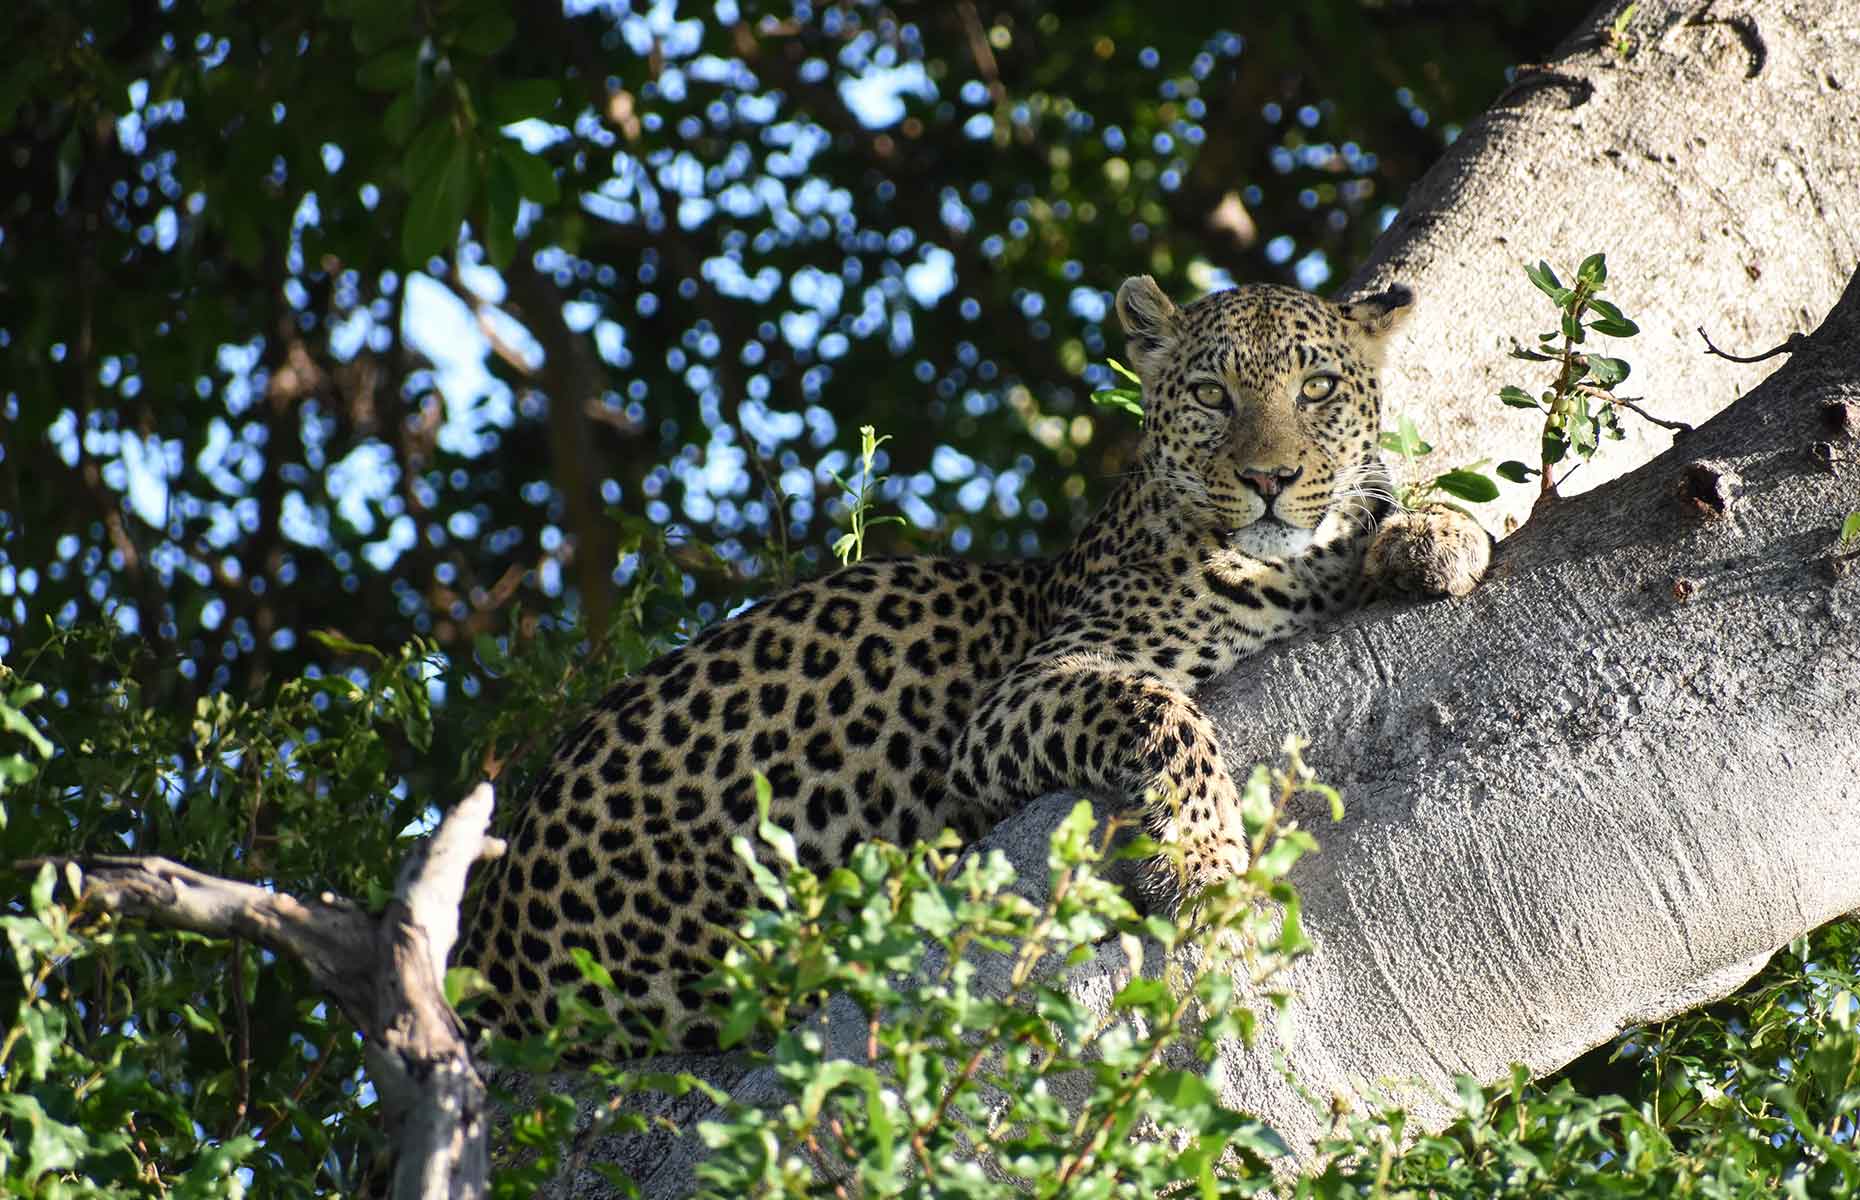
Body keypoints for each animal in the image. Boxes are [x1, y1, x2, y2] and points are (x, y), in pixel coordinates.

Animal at [457, 275, 1488, 1056]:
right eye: (1211, 396)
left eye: (1315, 390)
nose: (1269, 479)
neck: (1290, 573)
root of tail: (487, 946)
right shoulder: (1017, 700)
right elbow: (1163, 711)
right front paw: (1201, 857)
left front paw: (1440, 532)